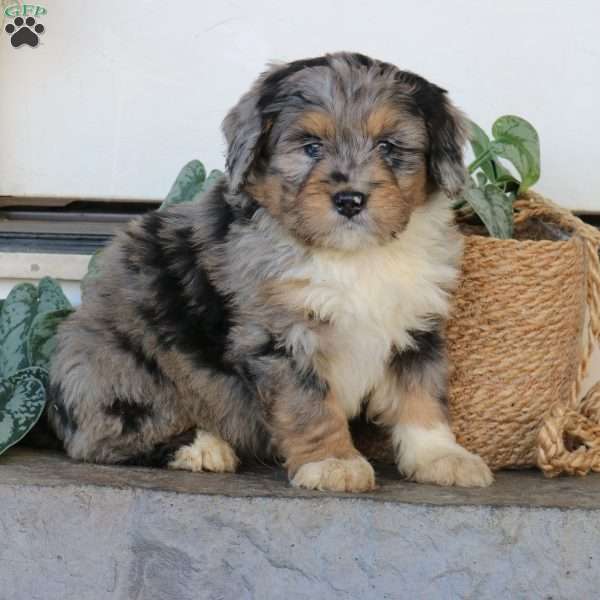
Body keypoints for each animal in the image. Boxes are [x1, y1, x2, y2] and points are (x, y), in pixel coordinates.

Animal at [49, 52, 492, 492]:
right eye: (311, 147)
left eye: (388, 146)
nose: (350, 200)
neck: (352, 257)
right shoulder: (280, 336)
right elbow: (310, 405)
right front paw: (333, 463)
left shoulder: (417, 326)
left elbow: (421, 397)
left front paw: (442, 457)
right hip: (118, 368)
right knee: (105, 437)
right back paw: (202, 448)